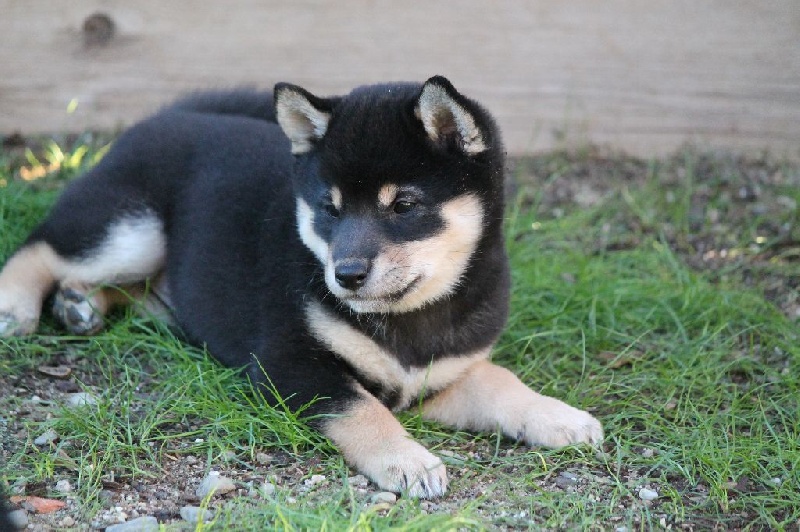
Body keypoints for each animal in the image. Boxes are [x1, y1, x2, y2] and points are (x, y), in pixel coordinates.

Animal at [0, 78, 600, 498]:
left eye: (404, 205)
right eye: (329, 209)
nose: (346, 275)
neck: (408, 320)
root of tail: (164, 115)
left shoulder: (440, 378)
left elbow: (501, 383)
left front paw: (559, 417)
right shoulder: (290, 362)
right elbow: (361, 408)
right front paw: (407, 461)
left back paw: (81, 305)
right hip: (131, 230)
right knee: (43, 247)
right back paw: (16, 306)